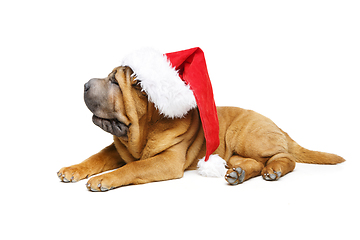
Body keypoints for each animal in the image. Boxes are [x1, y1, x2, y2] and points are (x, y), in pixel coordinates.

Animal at [57, 48, 344, 191]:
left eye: (115, 81)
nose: (84, 84)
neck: (143, 131)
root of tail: (279, 127)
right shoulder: (117, 149)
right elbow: (95, 157)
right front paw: (72, 170)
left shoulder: (168, 160)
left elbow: (133, 168)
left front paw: (105, 179)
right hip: (234, 154)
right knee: (252, 163)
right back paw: (238, 175)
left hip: (248, 137)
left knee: (285, 158)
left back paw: (273, 171)